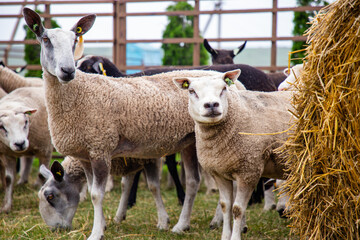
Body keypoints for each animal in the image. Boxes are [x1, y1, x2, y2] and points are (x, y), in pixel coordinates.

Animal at [39, 156, 169, 231]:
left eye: (50, 196)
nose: (55, 229)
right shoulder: (129, 159)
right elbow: (125, 184)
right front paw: (117, 217)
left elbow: (153, 186)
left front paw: (163, 222)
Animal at [173, 69, 294, 240]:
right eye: (192, 91)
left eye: (224, 88)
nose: (212, 105)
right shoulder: (219, 173)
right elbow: (225, 206)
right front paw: (225, 236)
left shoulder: (248, 171)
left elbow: (237, 209)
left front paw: (235, 236)